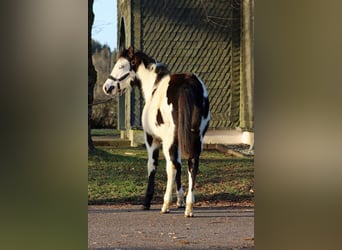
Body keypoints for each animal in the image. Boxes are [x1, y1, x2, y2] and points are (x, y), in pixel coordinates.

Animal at [101, 46, 210, 217]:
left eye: (121, 66)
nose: (107, 87)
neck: (154, 87)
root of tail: (187, 83)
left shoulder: (151, 140)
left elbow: (152, 165)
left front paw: (147, 202)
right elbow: (180, 165)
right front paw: (180, 200)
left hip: (169, 140)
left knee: (171, 166)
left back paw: (165, 205)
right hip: (196, 137)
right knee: (192, 164)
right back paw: (189, 207)